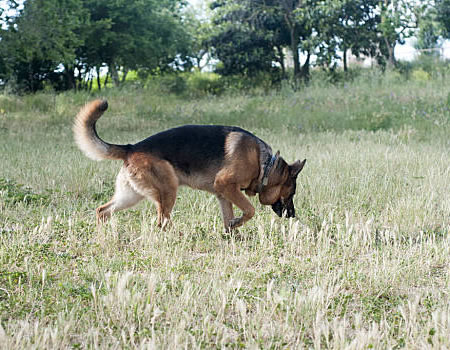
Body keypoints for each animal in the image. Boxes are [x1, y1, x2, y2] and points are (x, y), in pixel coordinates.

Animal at [74, 100, 306, 231]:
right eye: (291, 194)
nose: (293, 215)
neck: (264, 165)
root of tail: (131, 147)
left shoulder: (224, 194)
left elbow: (229, 219)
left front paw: (233, 234)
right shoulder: (226, 185)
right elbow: (250, 210)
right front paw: (237, 224)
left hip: (130, 196)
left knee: (103, 211)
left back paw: (103, 237)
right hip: (167, 190)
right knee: (161, 221)